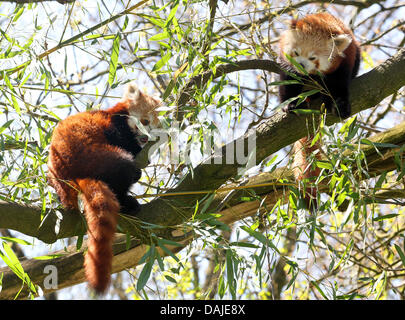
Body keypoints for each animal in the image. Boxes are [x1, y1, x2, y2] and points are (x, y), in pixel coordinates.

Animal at [47, 81, 161, 294]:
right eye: (145, 121)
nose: (146, 138)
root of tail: (71, 174)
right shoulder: (113, 126)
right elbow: (123, 141)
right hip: (94, 152)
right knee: (124, 168)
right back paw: (127, 201)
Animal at [278, 13, 360, 210]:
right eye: (296, 53)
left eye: (313, 57)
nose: (301, 65)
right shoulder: (285, 63)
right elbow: (287, 83)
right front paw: (290, 104)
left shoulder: (346, 59)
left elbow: (339, 85)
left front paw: (339, 103)